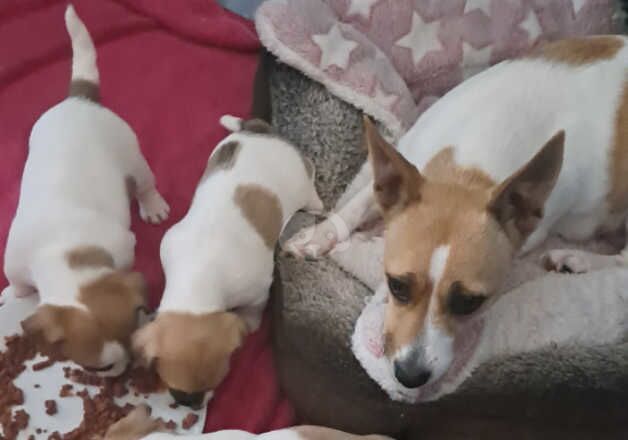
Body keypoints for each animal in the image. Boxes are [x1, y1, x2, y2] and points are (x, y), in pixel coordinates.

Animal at [1, 5, 169, 376]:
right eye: (101, 369)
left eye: (135, 330)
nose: (128, 368)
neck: (69, 252)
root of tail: (79, 97)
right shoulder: (14, 261)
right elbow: (17, 282)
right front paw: (15, 294)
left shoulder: (124, 248)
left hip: (132, 156)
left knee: (144, 183)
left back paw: (153, 204)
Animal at [288, 37, 628, 388]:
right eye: (398, 285)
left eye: (469, 303)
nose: (410, 376)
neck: (467, 171)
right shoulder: (404, 166)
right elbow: (356, 205)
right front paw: (319, 236)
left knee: (622, 261)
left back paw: (579, 259)